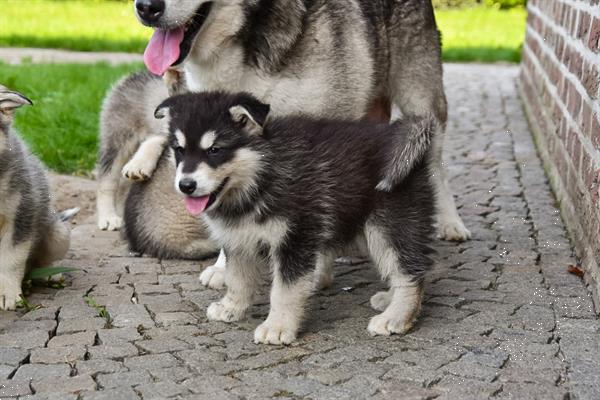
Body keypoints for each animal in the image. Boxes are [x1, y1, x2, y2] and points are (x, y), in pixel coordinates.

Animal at [157, 90, 434, 344]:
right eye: (179, 150)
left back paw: (396, 316)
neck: (261, 175)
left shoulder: (294, 238)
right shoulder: (238, 239)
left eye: (215, 150)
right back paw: (389, 298)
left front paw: (277, 327)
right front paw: (232, 307)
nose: (186, 185)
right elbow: (237, 279)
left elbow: (284, 290)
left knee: (410, 272)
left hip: (388, 226)